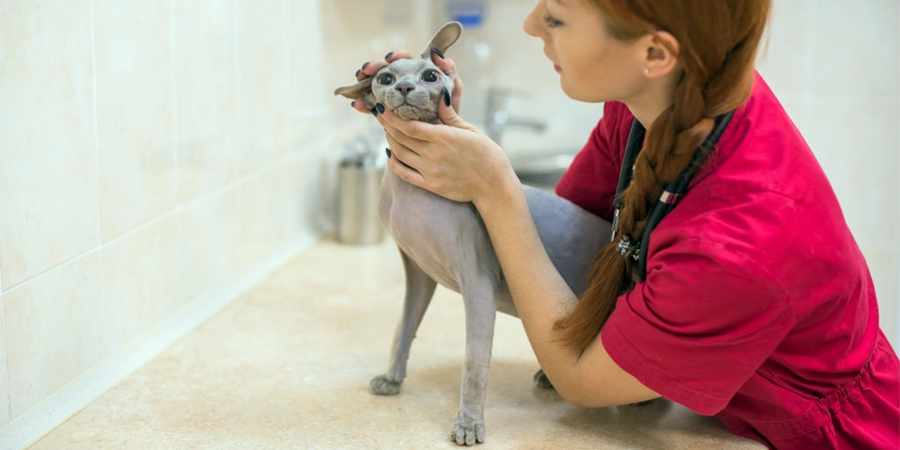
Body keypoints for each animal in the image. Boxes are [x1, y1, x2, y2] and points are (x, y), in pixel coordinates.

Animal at [332, 21, 612, 446]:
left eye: (431, 76)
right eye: (385, 78)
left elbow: (474, 363)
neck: (413, 192)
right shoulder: (417, 273)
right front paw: (393, 378)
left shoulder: (478, 283)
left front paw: (468, 423)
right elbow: (403, 328)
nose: (405, 87)